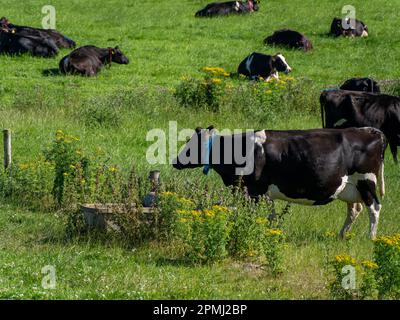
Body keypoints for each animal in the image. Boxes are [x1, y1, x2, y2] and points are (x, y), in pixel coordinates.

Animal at [173, 126, 386, 239]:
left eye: (191, 146)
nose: (175, 161)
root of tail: (370, 130)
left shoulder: (254, 191)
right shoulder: (261, 194)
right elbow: (271, 216)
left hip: (366, 182)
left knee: (374, 208)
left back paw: (371, 237)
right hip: (350, 188)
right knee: (355, 209)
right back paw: (341, 235)